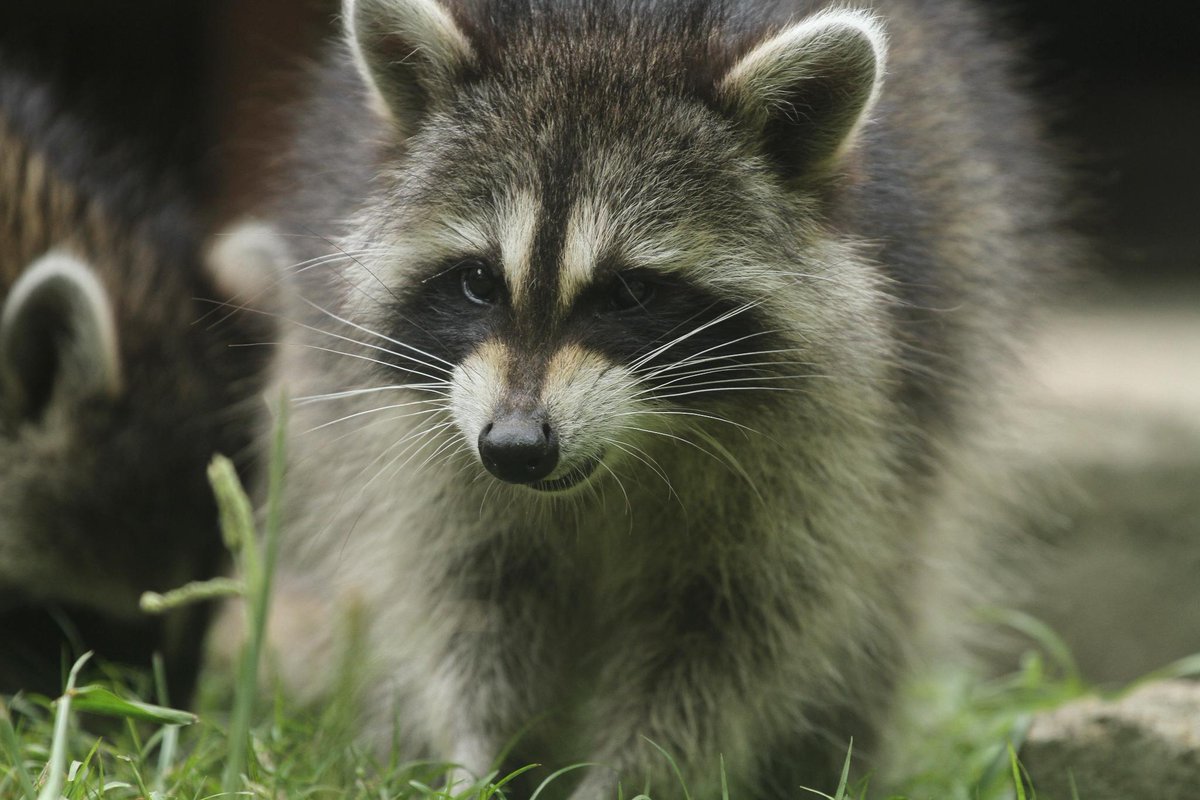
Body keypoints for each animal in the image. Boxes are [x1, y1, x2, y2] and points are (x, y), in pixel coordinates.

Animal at [272, 0, 1067, 794]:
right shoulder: (431, 445)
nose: (516, 448)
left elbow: (732, 639)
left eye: (629, 292)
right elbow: (471, 607)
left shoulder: (838, 442)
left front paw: (628, 778)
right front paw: (483, 758)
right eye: (477, 282)